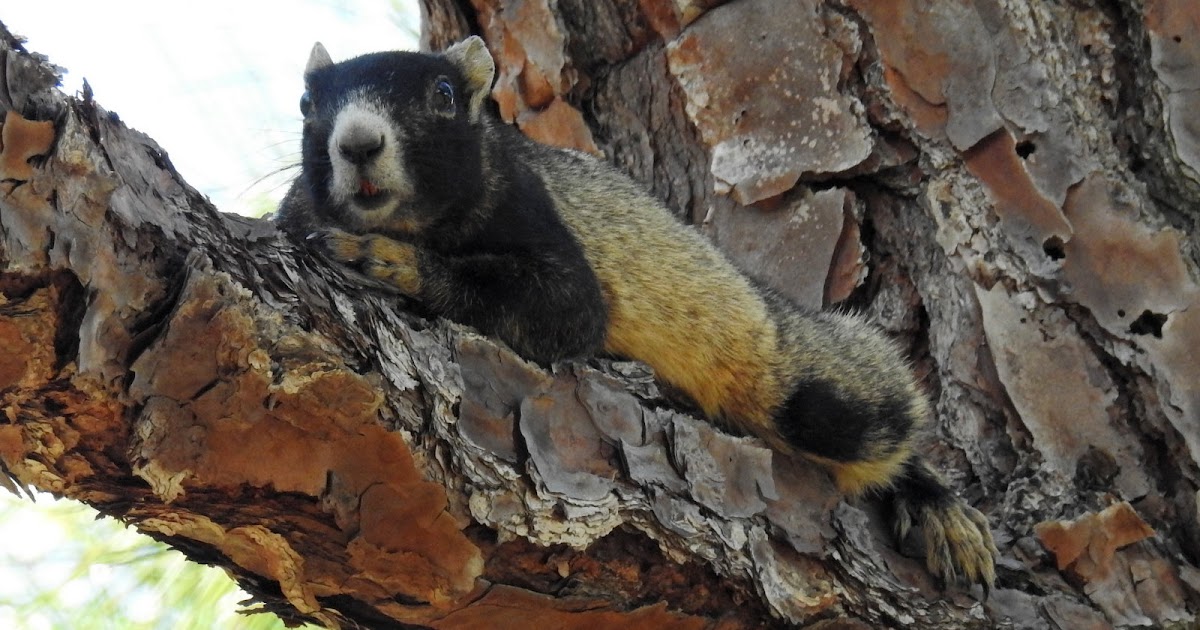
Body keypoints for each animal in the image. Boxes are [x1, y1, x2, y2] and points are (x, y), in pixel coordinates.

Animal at [276, 36, 998, 590]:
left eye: (445, 96)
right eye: (308, 106)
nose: (358, 143)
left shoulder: (539, 223)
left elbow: (566, 310)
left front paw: (389, 259)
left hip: (802, 382)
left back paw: (938, 508)